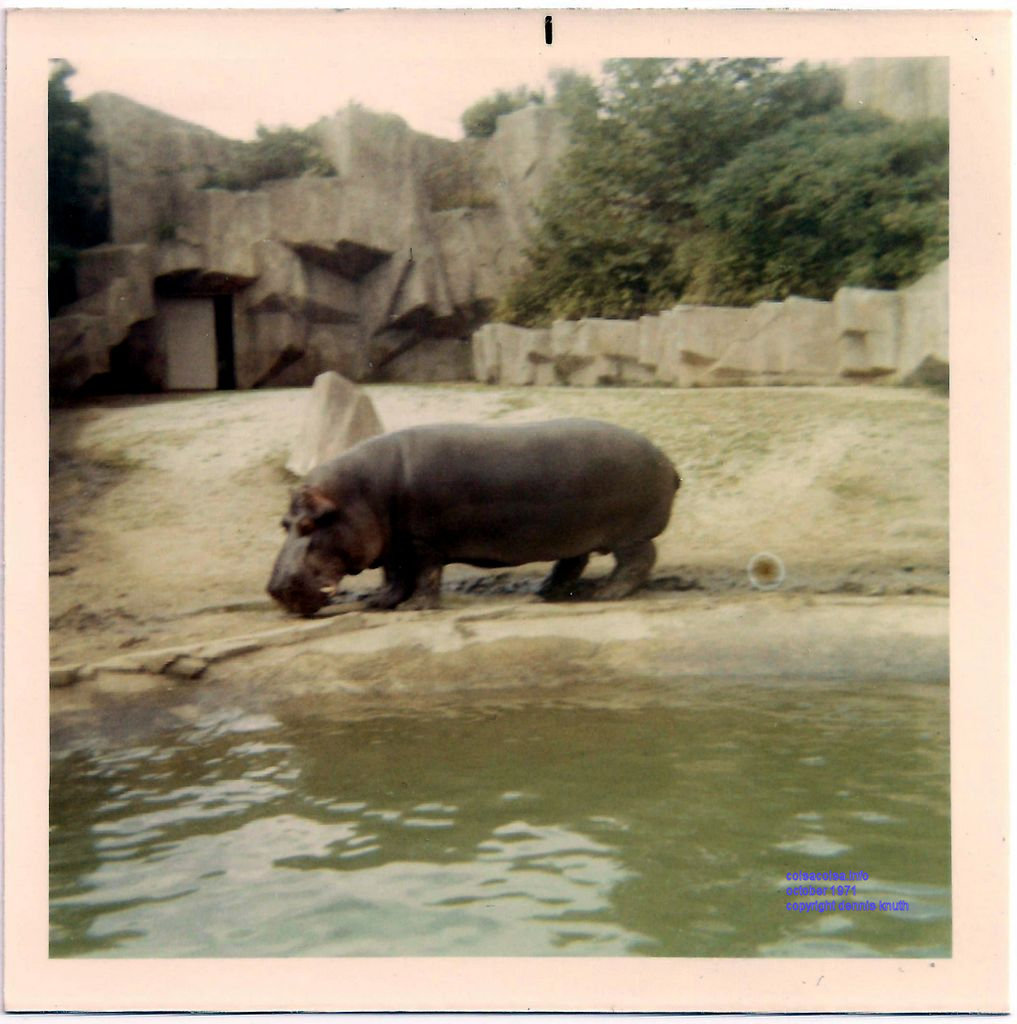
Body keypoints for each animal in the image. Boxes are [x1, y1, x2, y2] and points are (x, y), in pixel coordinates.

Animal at [267, 418, 680, 616]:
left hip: (627, 534)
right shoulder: (396, 545)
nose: (276, 590)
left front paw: (415, 607)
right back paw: (546, 591)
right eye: (284, 524)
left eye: (310, 523)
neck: (359, 494)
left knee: (638, 561)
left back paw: (606, 593)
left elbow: (424, 575)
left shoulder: (422, 543)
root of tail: (667, 461)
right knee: (571, 563)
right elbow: (395, 577)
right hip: (574, 533)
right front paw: (379, 602)